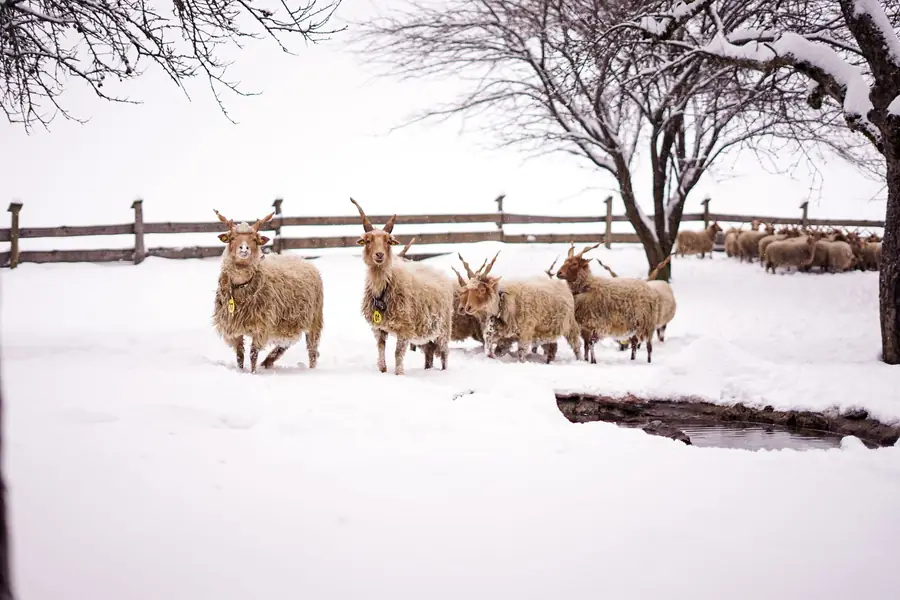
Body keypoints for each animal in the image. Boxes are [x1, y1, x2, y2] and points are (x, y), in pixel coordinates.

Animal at [211, 210, 323, 373]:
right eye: (231, 238)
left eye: (255, 239)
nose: (244, 249)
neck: (242, 285)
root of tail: (301, 258)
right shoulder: (233, 327)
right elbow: (240, 355)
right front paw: (240, 371)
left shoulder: (262, 326)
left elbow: (253, 354)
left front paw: (253, 373)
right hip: (288, 323)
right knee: (285, 344)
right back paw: (268, 361)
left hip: (314, 319)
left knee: (312, 350)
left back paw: (311, 370)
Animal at [350, 198, 454, 375]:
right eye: (368, 240)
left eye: (388, 241)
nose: (379, 255)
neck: (384, 287)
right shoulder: (378, 328)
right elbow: (380, 349)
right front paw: (383, 370)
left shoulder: (404, 327)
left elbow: (398, 353)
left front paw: (399, 374)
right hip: (425, 331)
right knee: (429, 352)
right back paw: (427, 369)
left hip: (443, 328)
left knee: (444, 353)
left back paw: (444, 371)